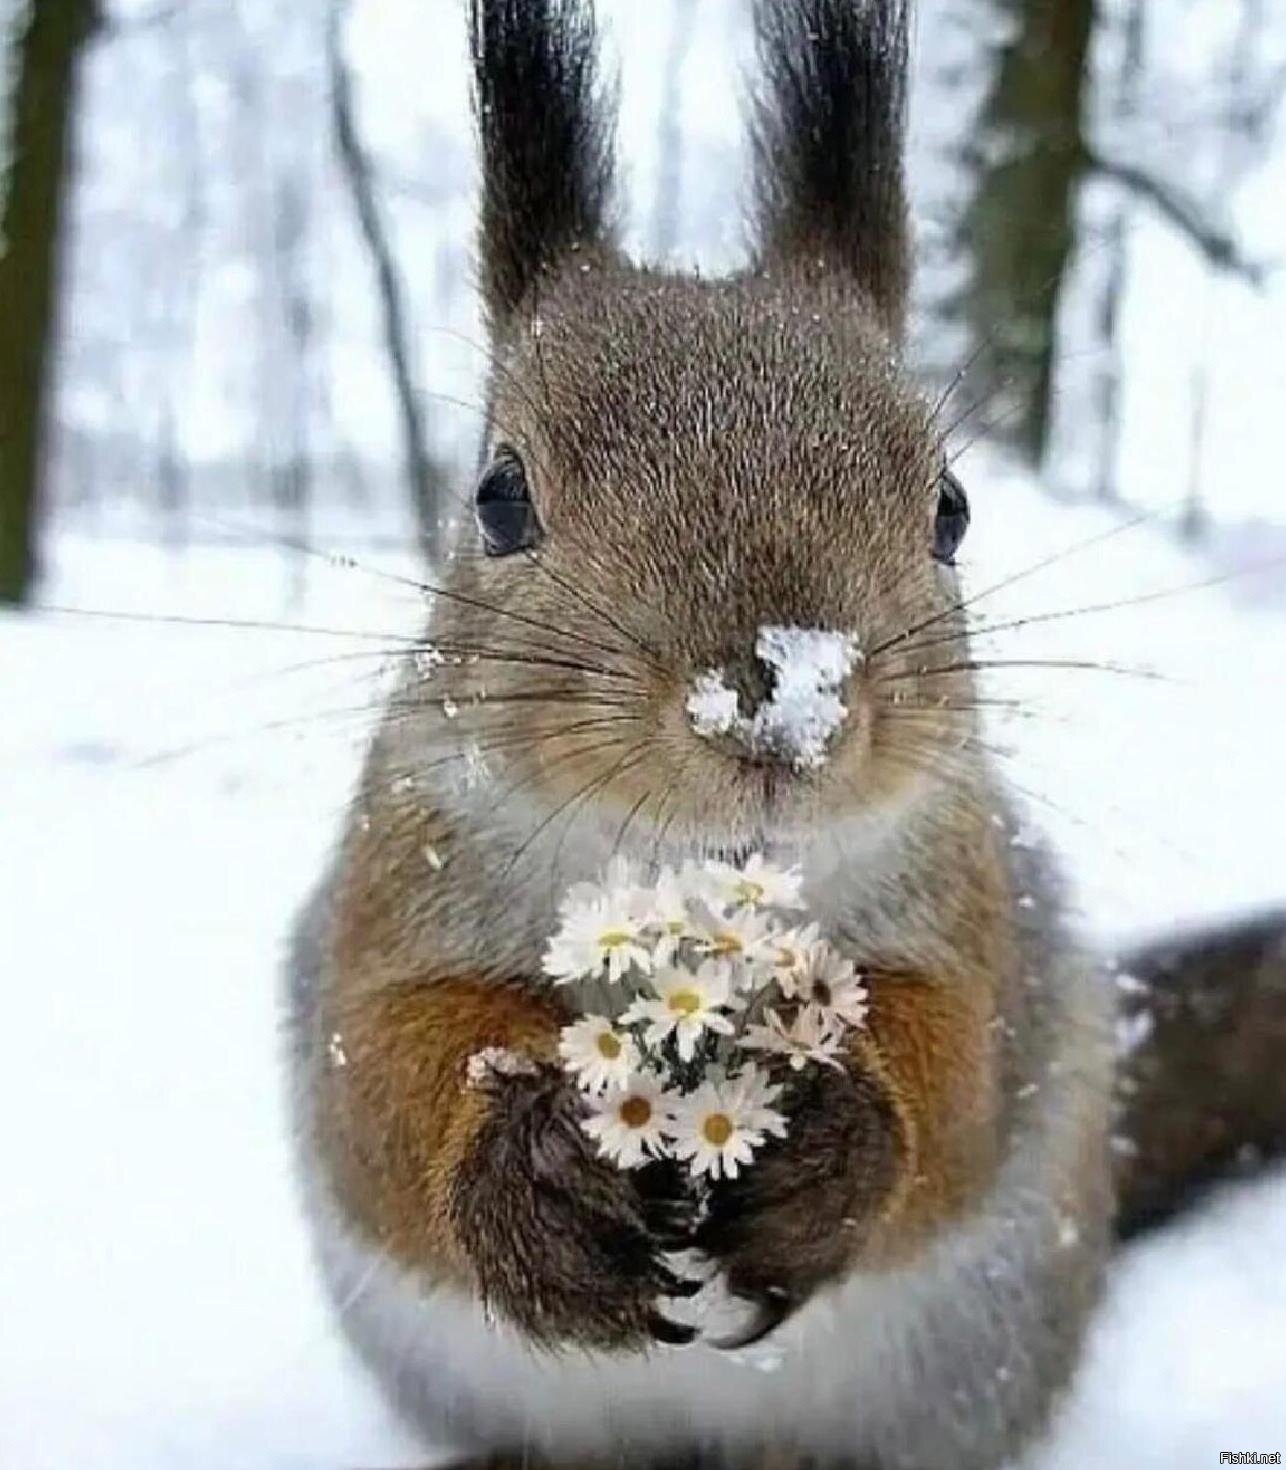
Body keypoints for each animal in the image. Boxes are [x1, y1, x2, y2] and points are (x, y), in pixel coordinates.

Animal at [289, 2, 1286, 1470]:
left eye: (950, 509)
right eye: (496, 496)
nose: (780, 700)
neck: (693, 897)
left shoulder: (977, 905)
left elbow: (960, 1071)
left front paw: (834, 1146)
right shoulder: (384, 896)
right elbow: (379, 1080)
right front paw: (528, 1173)